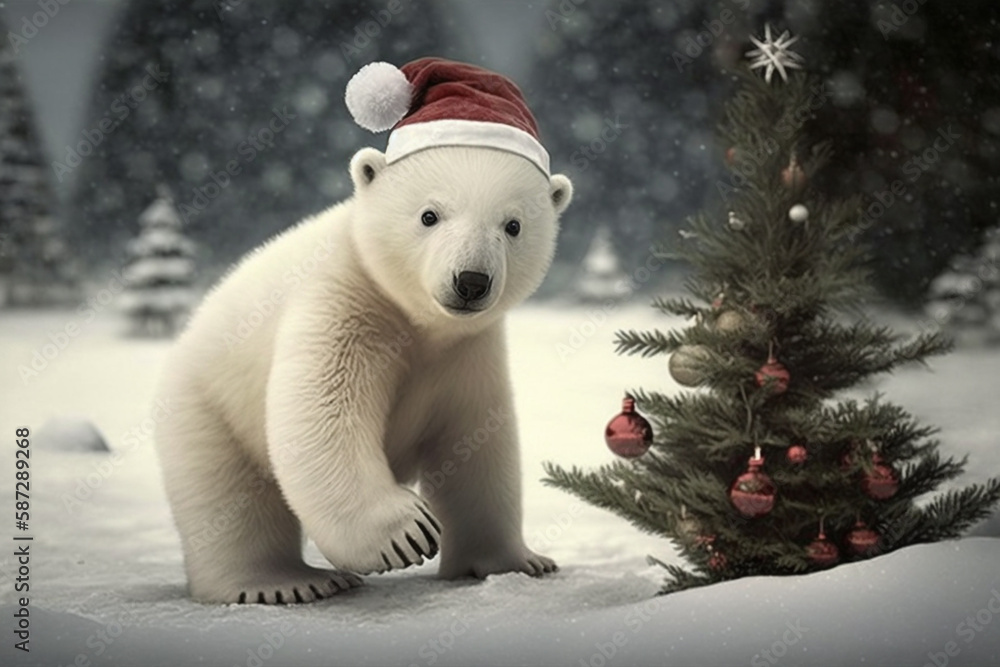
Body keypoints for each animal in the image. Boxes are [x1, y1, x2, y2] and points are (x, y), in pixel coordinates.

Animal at [154, 58, 574, 603]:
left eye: (513, 225)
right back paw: (284, 582)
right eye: (429, 215)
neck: (415, 318)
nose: (471, 282)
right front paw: (406, 532)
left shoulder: (467, 351)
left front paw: (517, 561)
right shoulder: (343, 304)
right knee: (228, 496)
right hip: (207, 405)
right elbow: (322, 416)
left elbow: (479, 446)